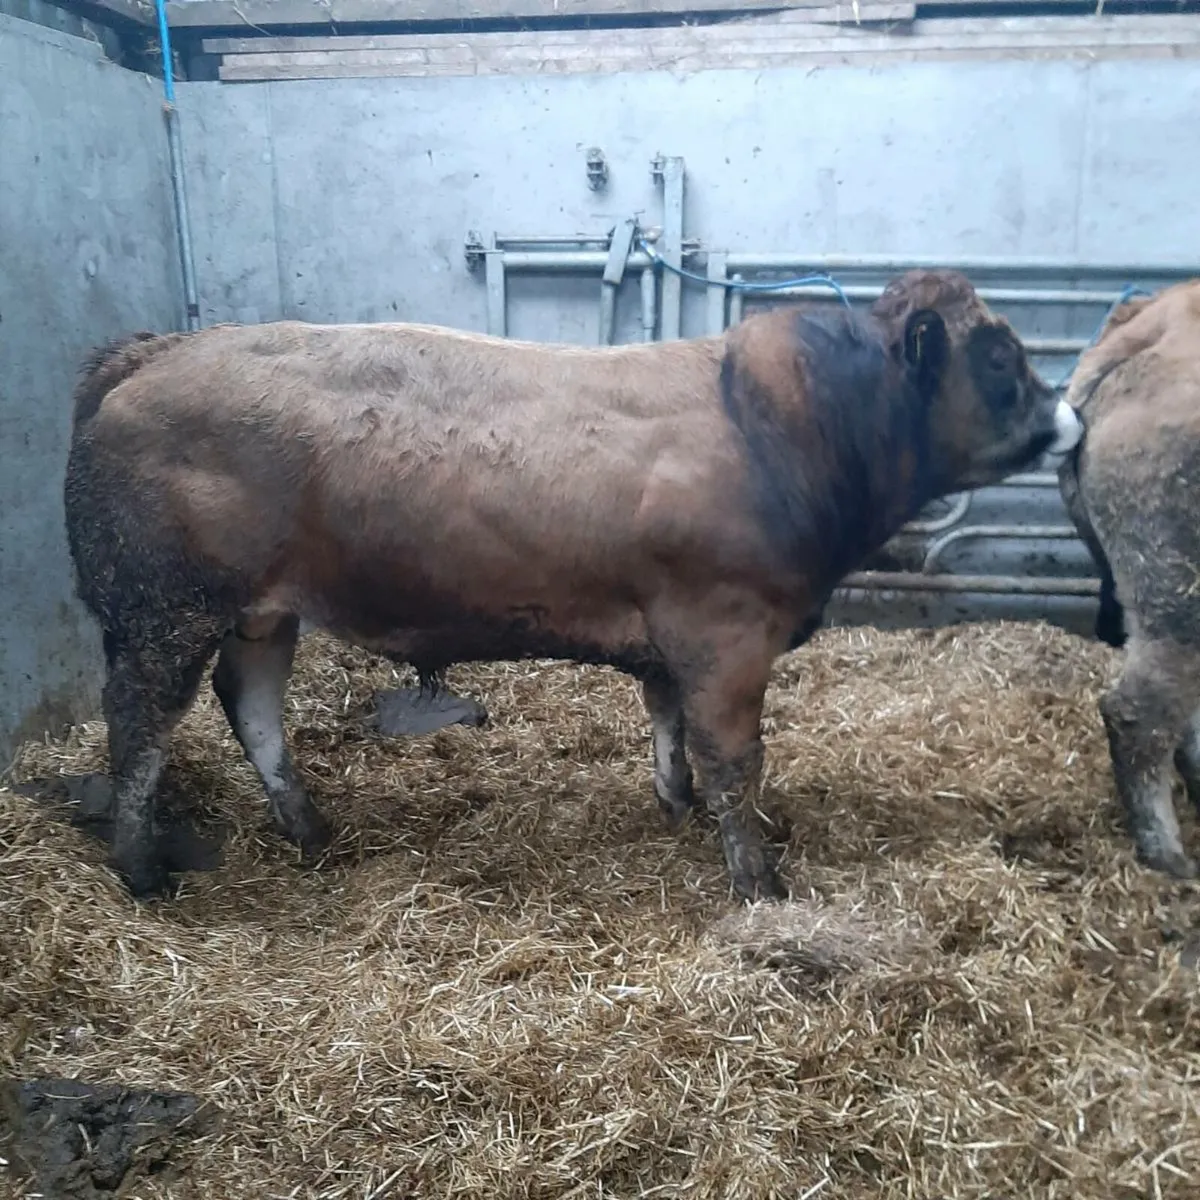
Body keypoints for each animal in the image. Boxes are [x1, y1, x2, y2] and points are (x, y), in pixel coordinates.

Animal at [63, 269, 1081, 901]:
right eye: (999, 359)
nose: (1071, 415)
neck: (774, 425)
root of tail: (156, 350)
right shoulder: (727, 634)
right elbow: (733, 759)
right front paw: (758, 883)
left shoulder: (673, 639)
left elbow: (669, 730)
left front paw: (675, 808)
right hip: (162, 612)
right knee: (140, 727)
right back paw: (142, 867)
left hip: (259, 613)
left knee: (251, 703)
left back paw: (308, 826)